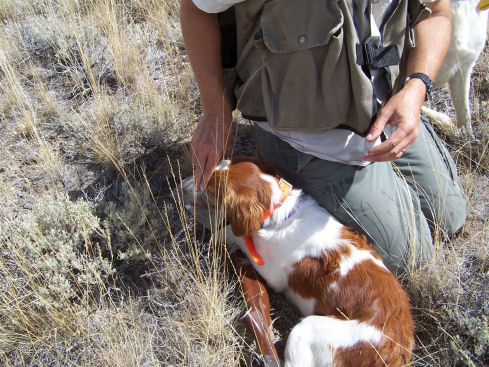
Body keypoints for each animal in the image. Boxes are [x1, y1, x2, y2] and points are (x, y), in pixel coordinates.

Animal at [181, 159, 414, 367]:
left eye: (210, 186)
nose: (182, 184)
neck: (280, 212)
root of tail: (395, 352)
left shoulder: (272, 273)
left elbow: (232, 232)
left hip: (307, 328)